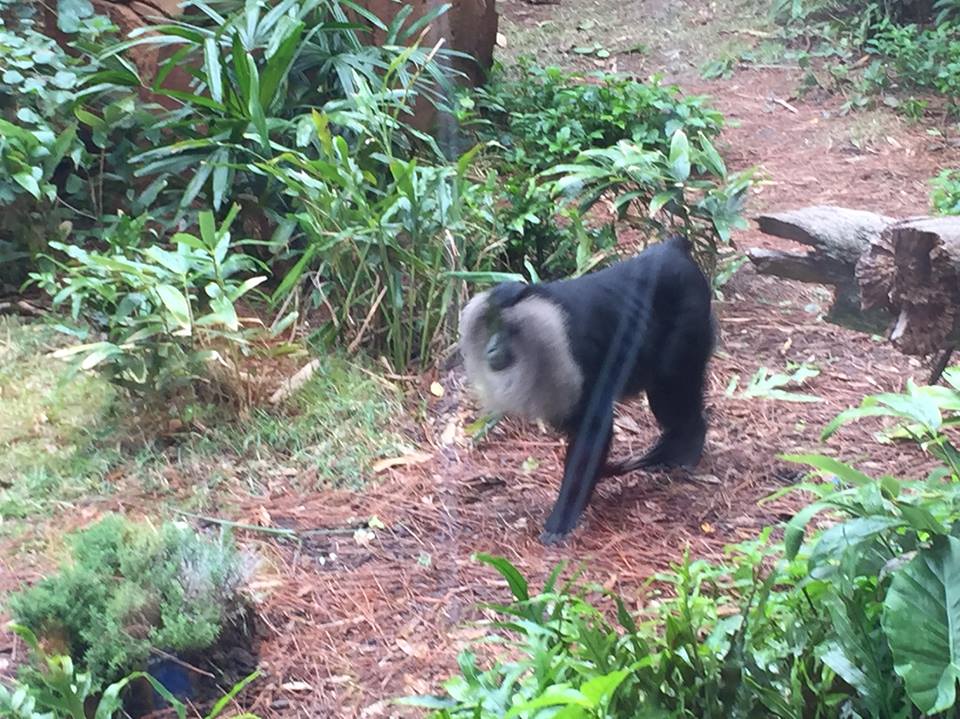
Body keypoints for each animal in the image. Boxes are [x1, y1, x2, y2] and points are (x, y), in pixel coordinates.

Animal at [458, 235, 716, 544]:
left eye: (508, 330)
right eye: (491, 325)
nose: (492, 347)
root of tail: (674, 249)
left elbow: (594, 431)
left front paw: (562, 520)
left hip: (688, 331)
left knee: (672, 390)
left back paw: (685, 447)